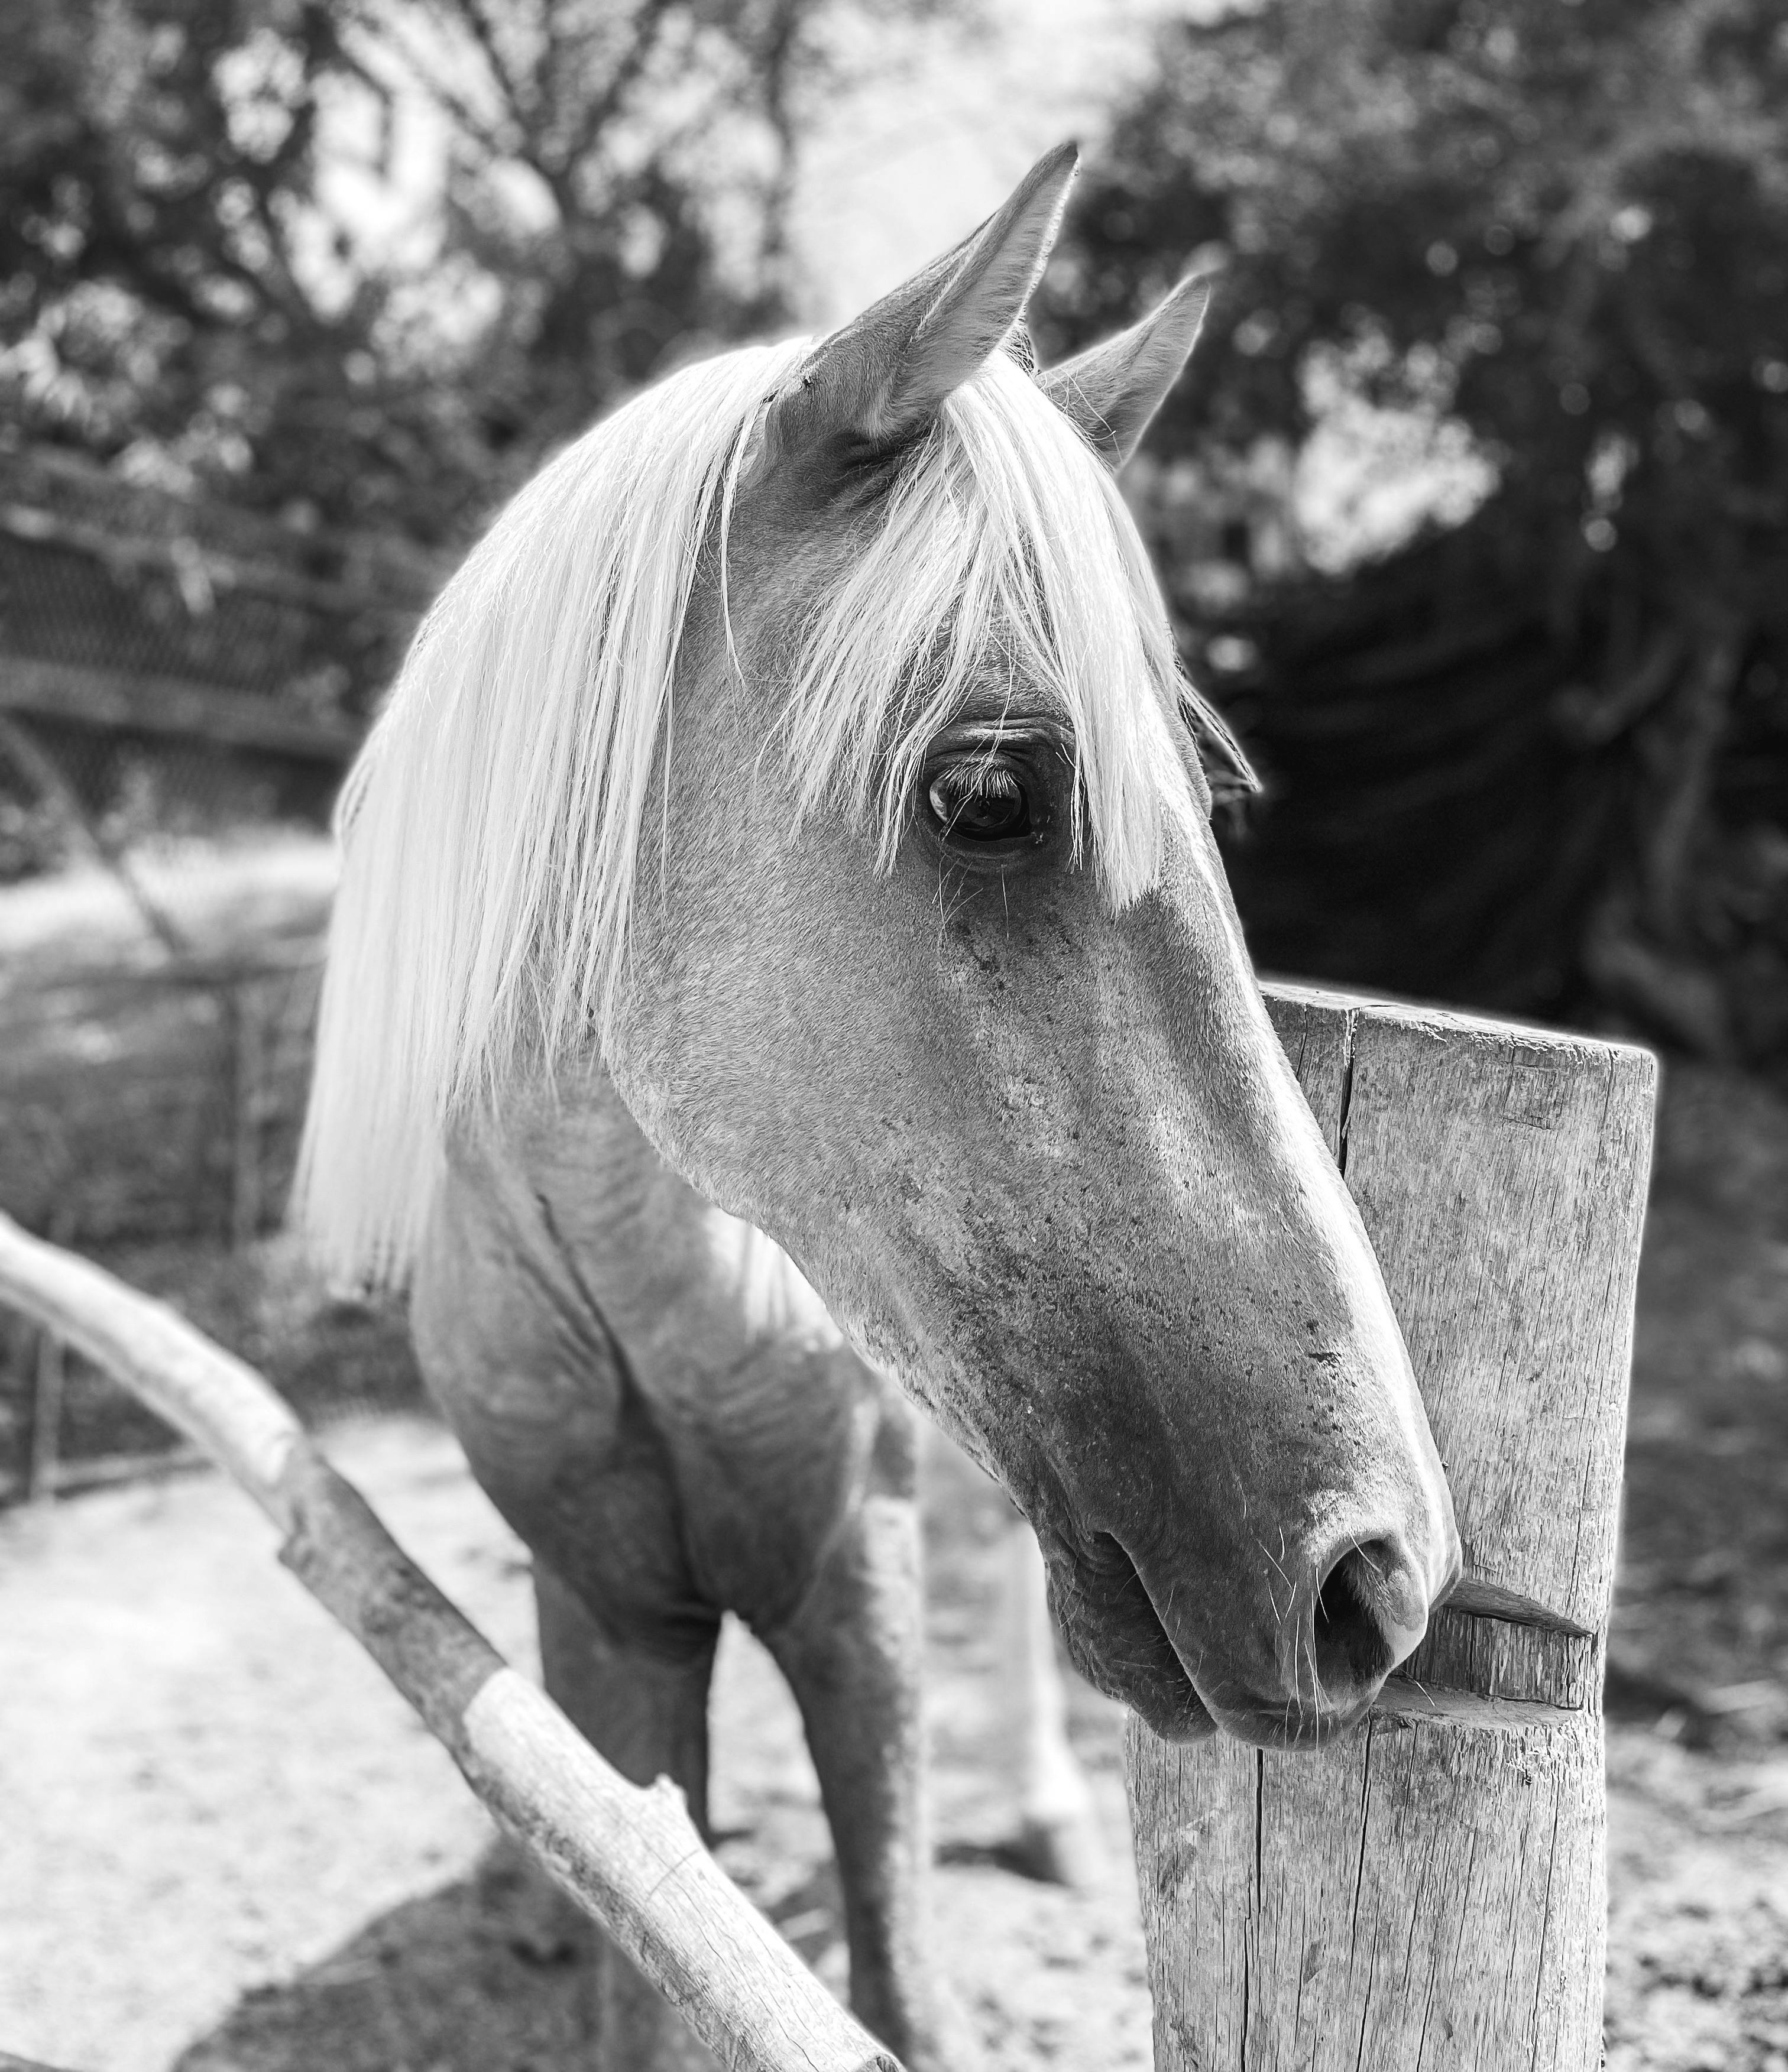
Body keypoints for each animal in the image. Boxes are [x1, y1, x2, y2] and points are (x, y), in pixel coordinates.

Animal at [296, 143, 1461, 2072]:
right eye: (987, 792)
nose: (1381, 1568)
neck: (618, 1270)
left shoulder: (860, 1588)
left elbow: (897, 1972)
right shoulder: (609, 1620)